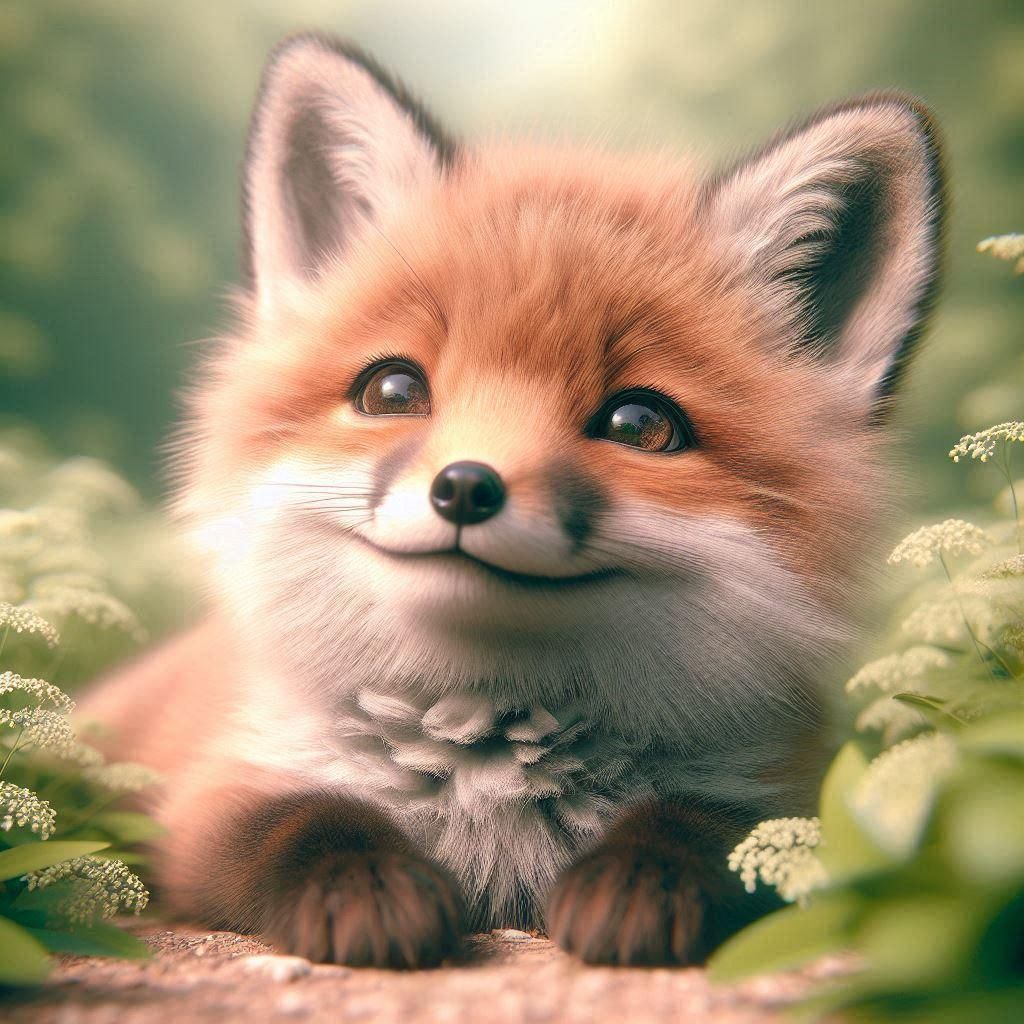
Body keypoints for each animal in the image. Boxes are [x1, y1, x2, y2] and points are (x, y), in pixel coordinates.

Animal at [81, 34, 946, 968]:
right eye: (392, 389)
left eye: (640, 423)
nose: (464, 486)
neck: (486, 772)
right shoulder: (210, 796)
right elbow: (301, 819)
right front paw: (369, 888)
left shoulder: (792, 795)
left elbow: (713, 828)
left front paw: (639, 883)